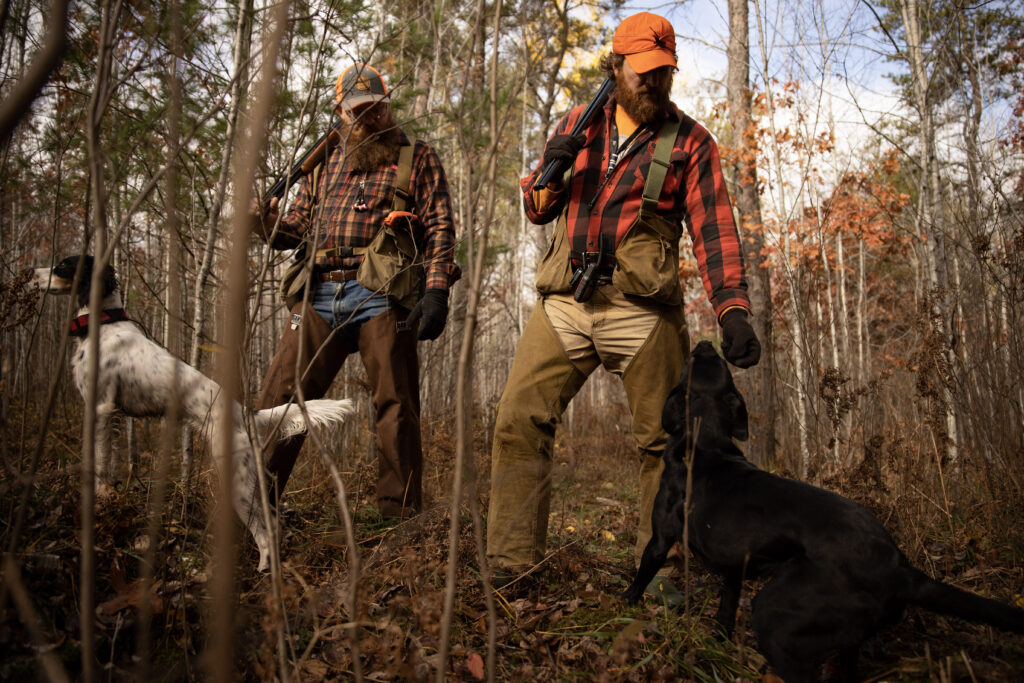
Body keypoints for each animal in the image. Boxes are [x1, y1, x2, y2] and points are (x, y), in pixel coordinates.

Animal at [622, 342, 1024, 683]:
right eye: (717, 364)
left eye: (691, 362)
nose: (707, 343)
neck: (707, 439)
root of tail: (898, 567)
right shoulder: (735, 568)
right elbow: (725, 609)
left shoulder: (660, 539)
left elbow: (642, 574)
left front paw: (624, 603)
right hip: (842, 639)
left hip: (775, 616)